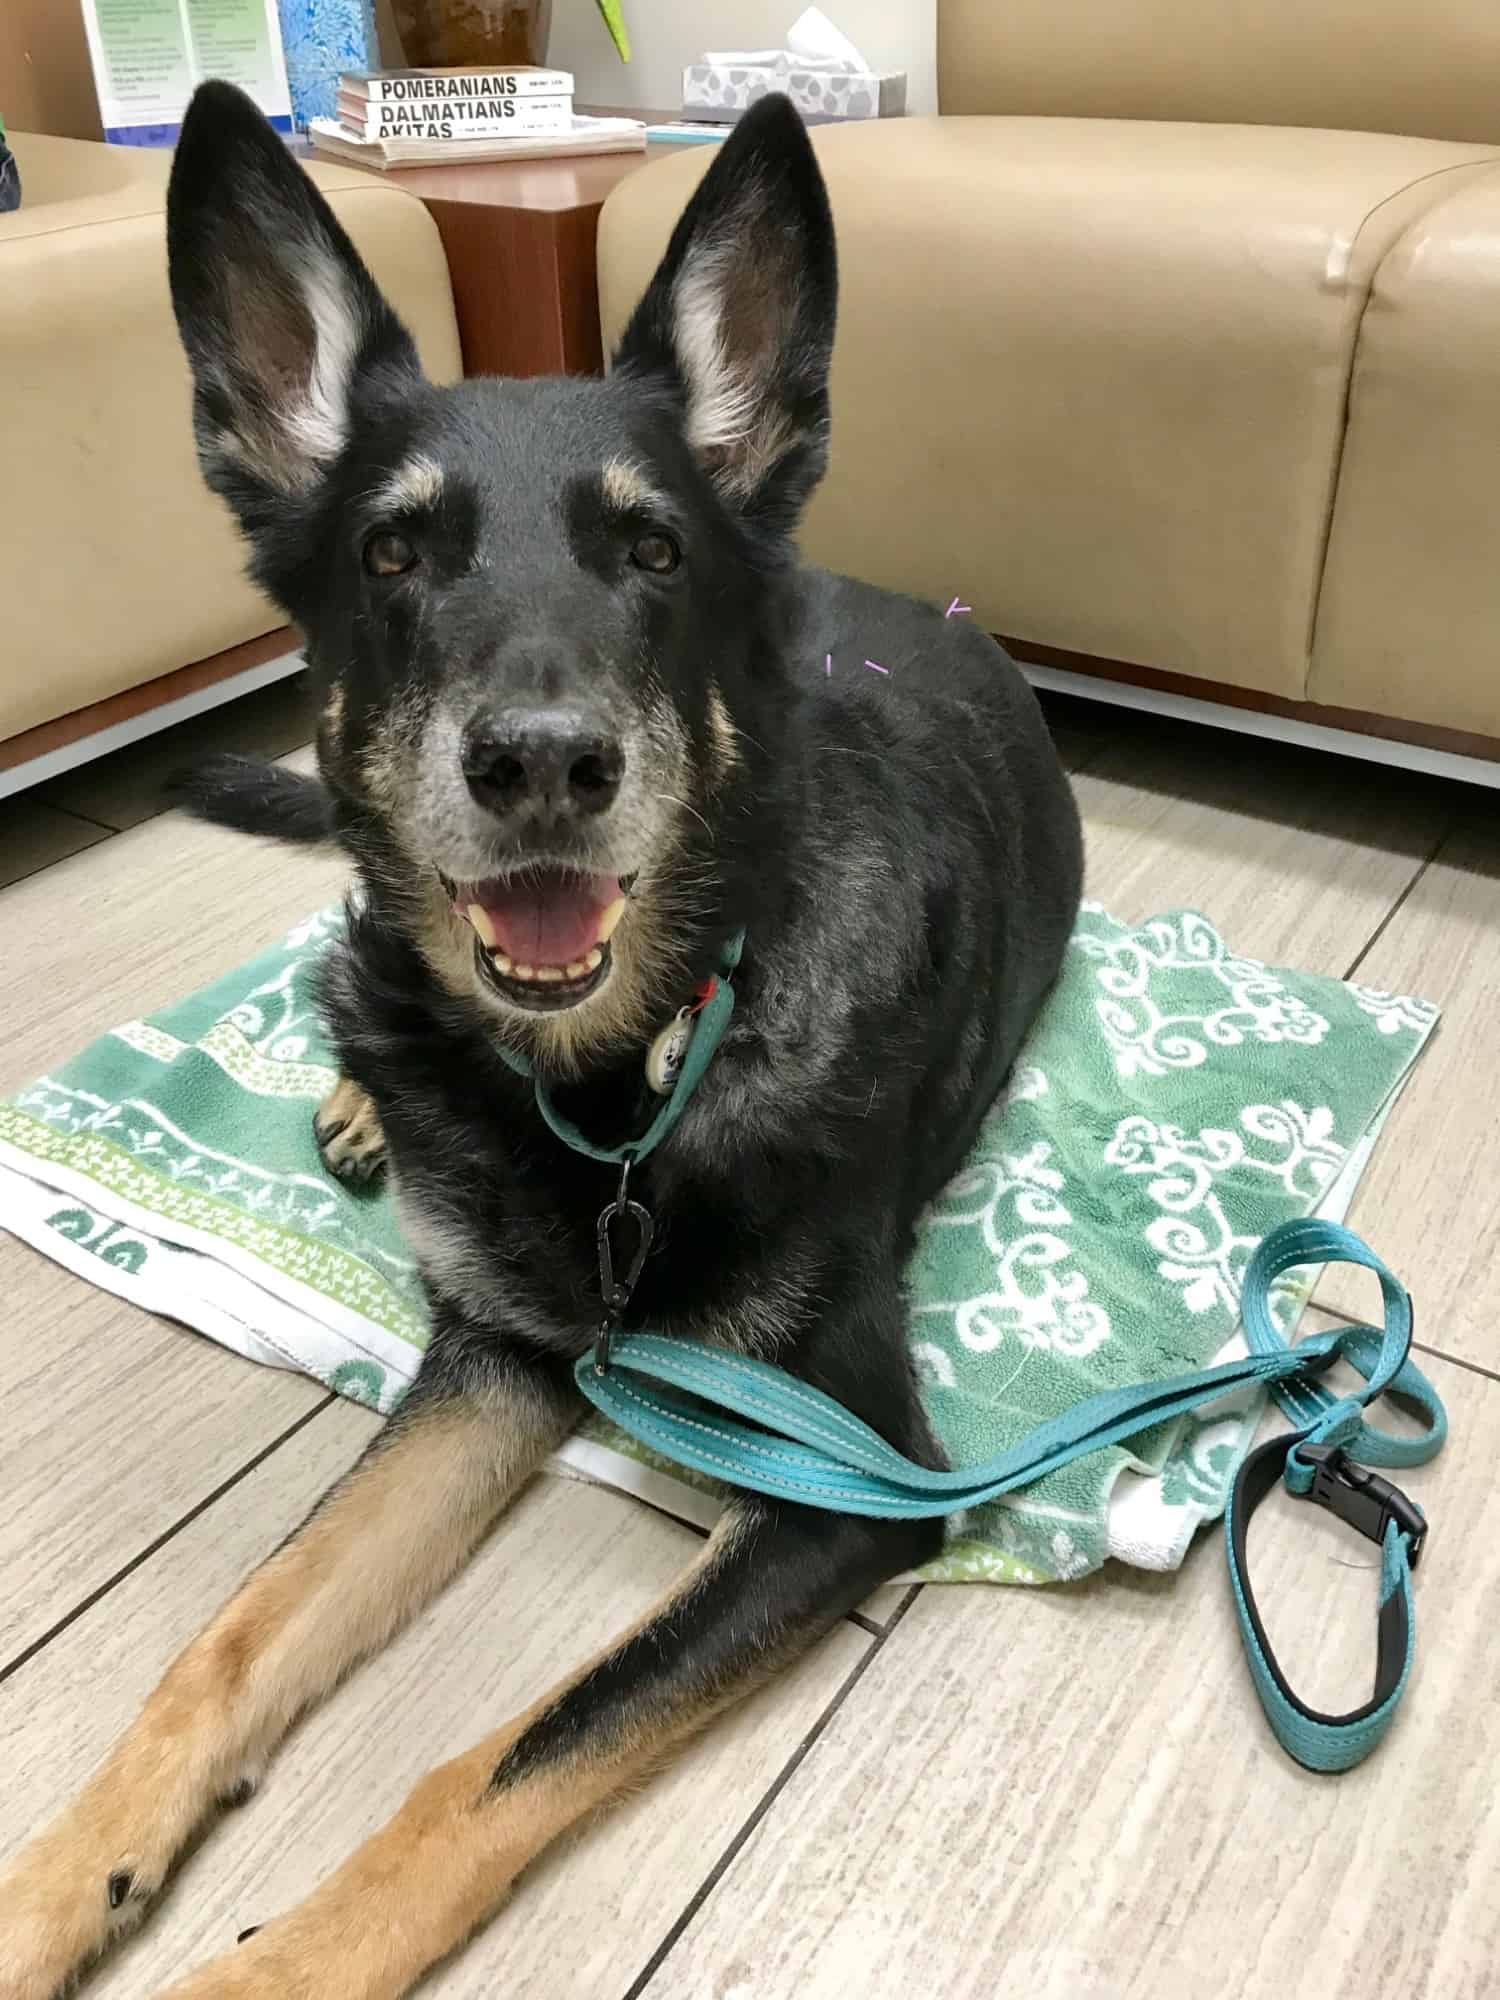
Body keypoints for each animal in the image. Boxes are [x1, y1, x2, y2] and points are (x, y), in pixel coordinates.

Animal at [0, 82, 1080, 2000]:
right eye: (391, 554)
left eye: (652, 552)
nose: (543, 768)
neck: (613, 1099)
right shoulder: (487, 1363)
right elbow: (232, 1635)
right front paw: (60, 1881)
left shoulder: (849, 1486)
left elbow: (503, 1760)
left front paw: (263, 1973)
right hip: (371, 976)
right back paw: (367, 1109)